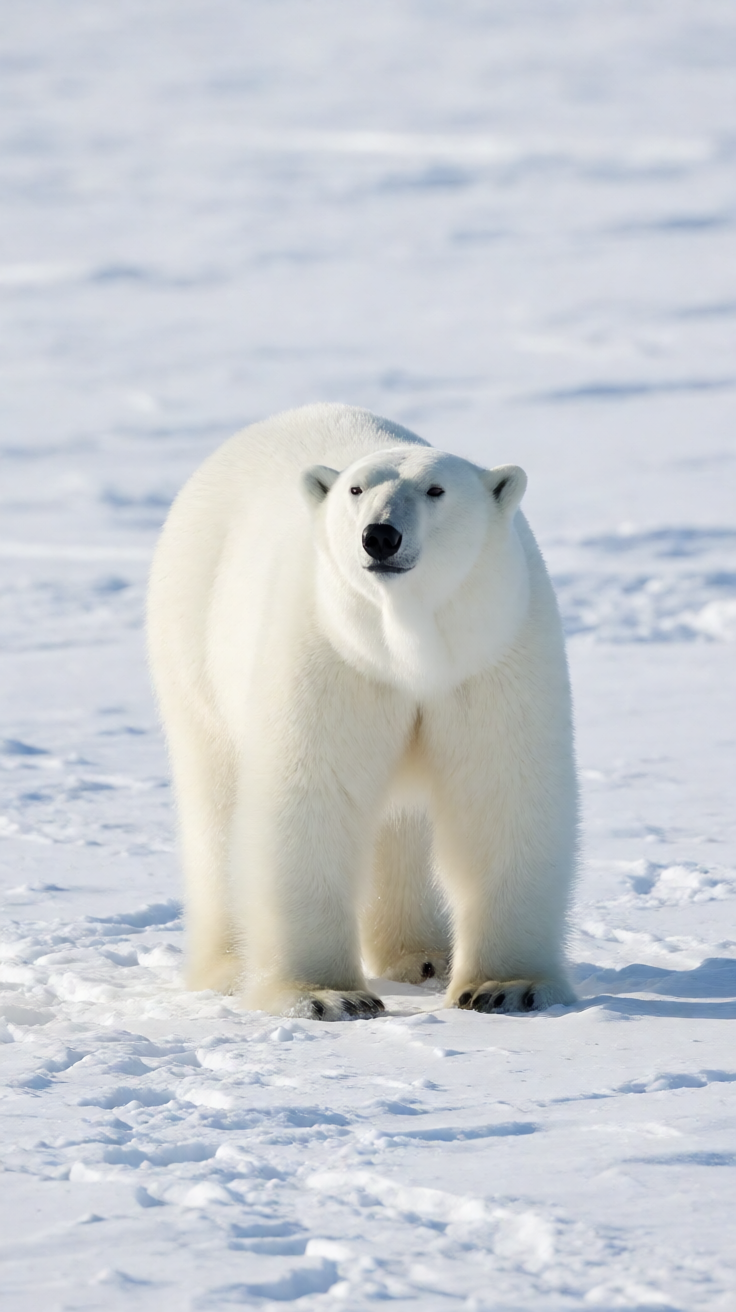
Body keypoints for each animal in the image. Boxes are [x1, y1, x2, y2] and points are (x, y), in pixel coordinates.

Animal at [147, 403, 578, 1020]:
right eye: (356, 489)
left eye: (436, 489)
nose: (380, 536)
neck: (407, 647)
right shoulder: (333, 654)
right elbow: (313, 796)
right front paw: (326, 995)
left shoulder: (492, 652)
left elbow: (502, 792)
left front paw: (507, 987)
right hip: (193, 640)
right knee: (217, 807)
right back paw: (230, 966)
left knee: (401, 829)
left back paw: (423, 956)